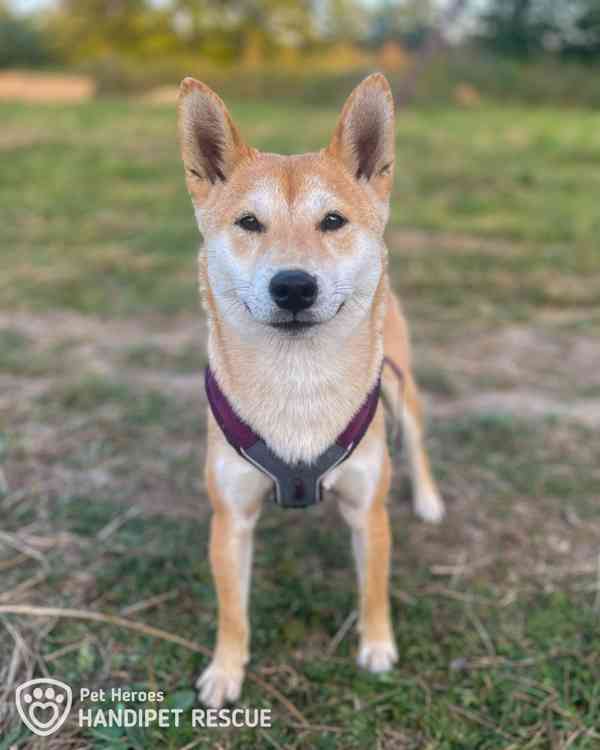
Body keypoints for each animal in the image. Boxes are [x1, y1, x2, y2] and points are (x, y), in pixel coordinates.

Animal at [176, 72, 442, 712]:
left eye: (333, 222)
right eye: (249, 223)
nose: (294, 285)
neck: (298, 387)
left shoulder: (368, 510)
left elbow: (374, 590)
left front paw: (377, 648)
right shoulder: (231, 518)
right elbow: (233, 611)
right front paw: (225, 671)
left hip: (403, 393)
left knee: (419, 446)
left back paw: (429, 500)